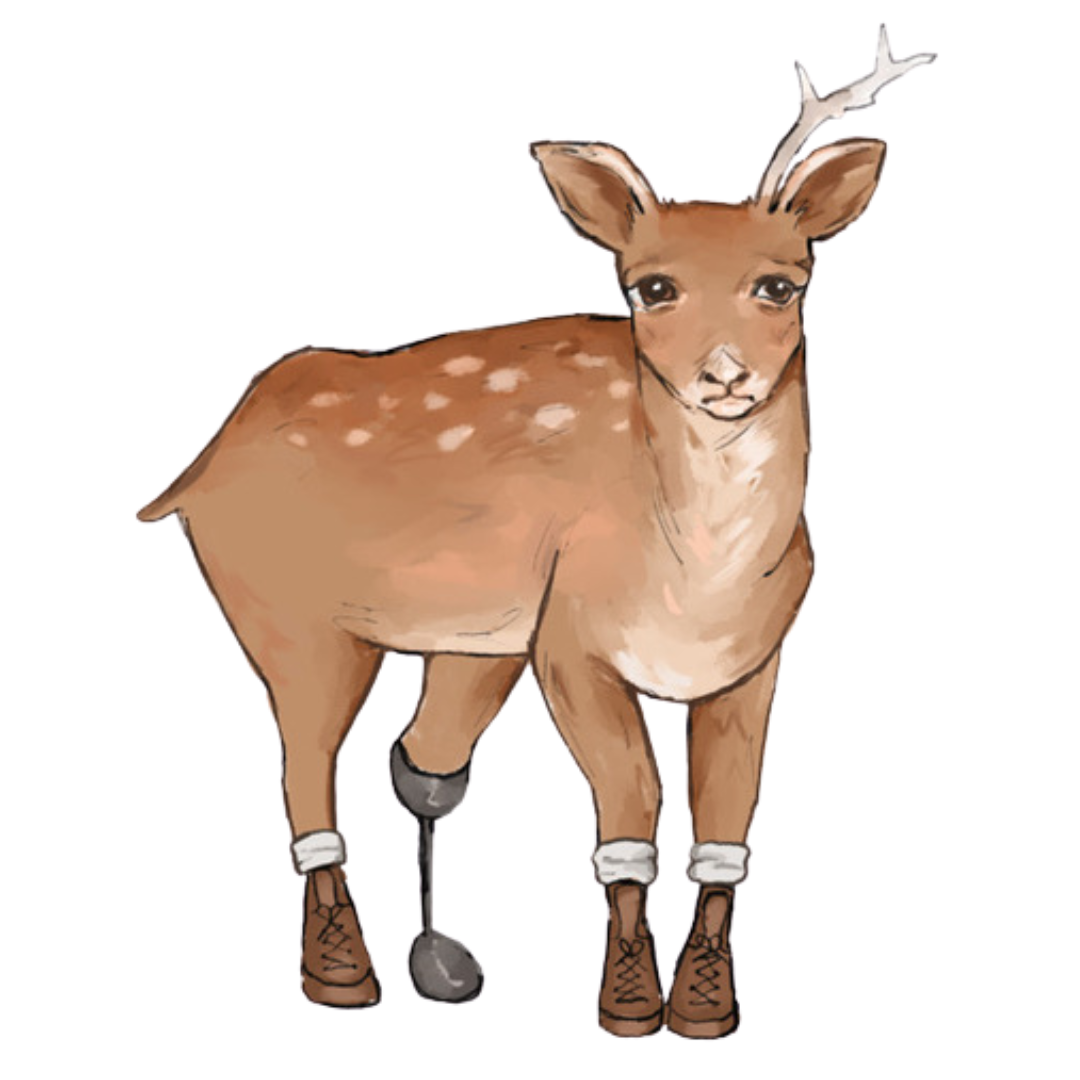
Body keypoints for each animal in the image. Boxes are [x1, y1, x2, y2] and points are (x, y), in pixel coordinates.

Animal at [136, 33, 931, 1038]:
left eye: (780, 283)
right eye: (653, 287)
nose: (724, 376)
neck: (694, 586)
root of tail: (197, 465)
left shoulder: (755, 659)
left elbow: (722, 822)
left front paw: (704, 1004)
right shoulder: (570, 641)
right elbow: (631, 804)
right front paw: (628, 1002)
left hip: (473, 640)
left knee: (418, 759)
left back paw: (439, 967)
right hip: (287, 613)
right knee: (308, 767)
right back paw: (343, 974)